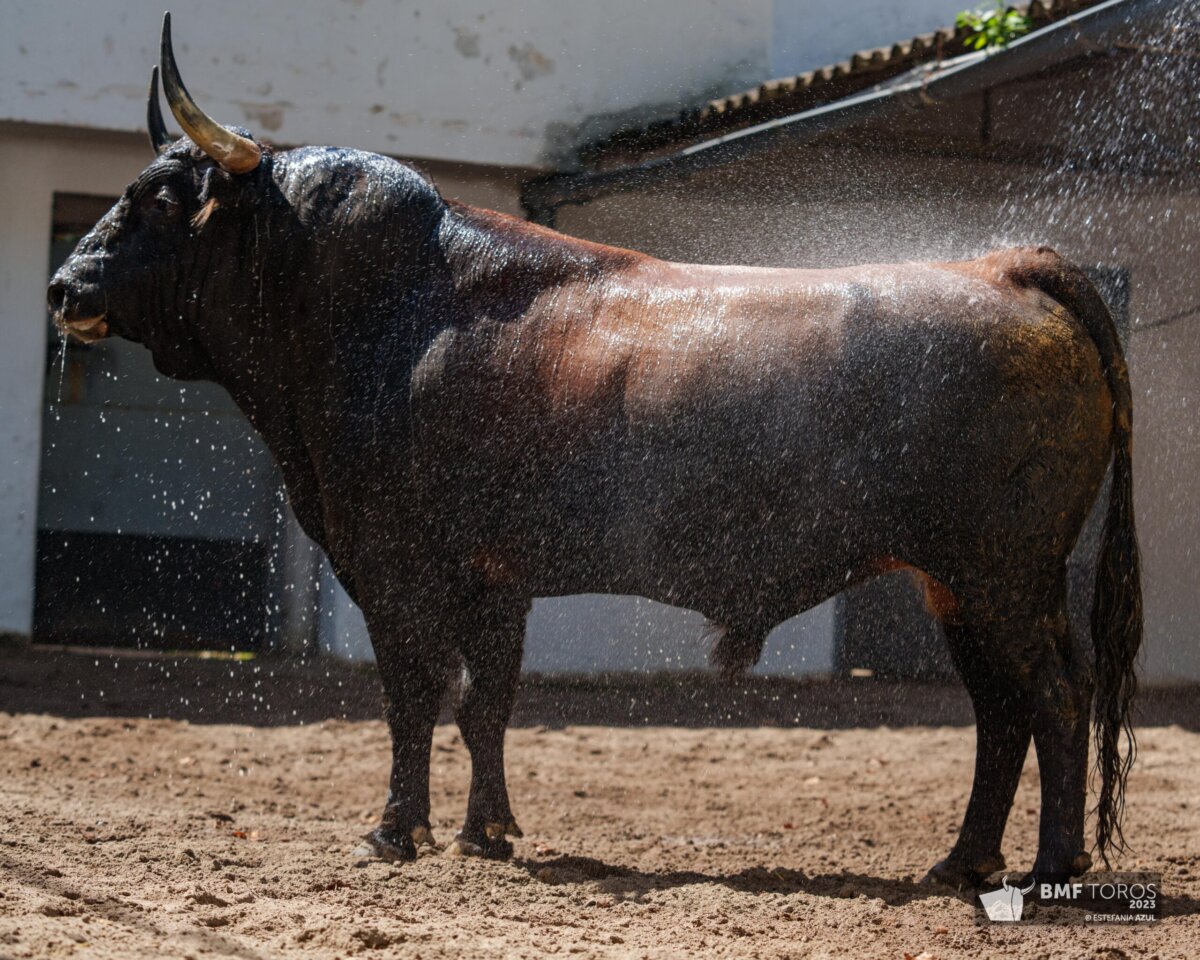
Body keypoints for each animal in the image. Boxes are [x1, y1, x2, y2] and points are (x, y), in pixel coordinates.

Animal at [48, 15, 1141, 888]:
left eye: (156, 200)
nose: (64, 287)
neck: (391, 309)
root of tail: (1008, 265)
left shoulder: (396, 565)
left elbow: (414, 695)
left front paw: (394, 833)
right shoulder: (496, 577)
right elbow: (485, 701)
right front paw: (487, 833)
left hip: (1001, 574)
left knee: (1053, 698)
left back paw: (1047, 867)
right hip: (960, 583)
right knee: (1003, 712)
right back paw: (962, 862)